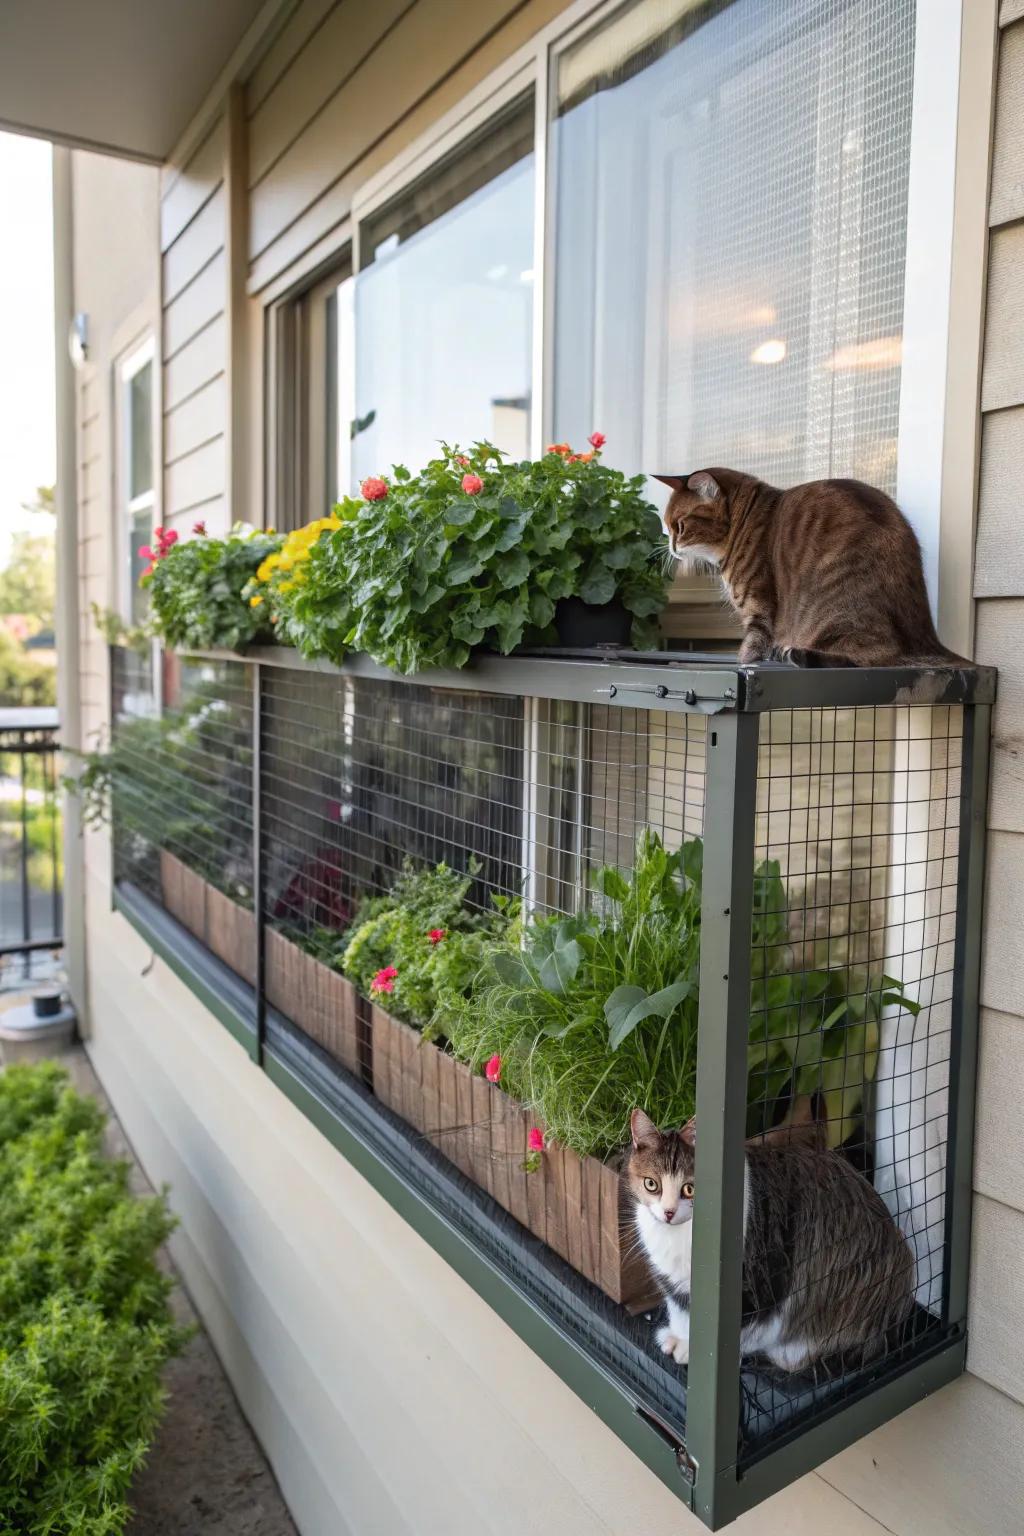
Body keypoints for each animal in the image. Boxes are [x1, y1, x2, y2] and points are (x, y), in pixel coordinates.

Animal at [626, 1112, 914, 1376]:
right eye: (652, 1184)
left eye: (689, 1188)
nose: (669, 1212)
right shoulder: (672, 1283)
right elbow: (679, 1310)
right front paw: (677, 1338)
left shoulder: (756, 1286)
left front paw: (691, 1352)